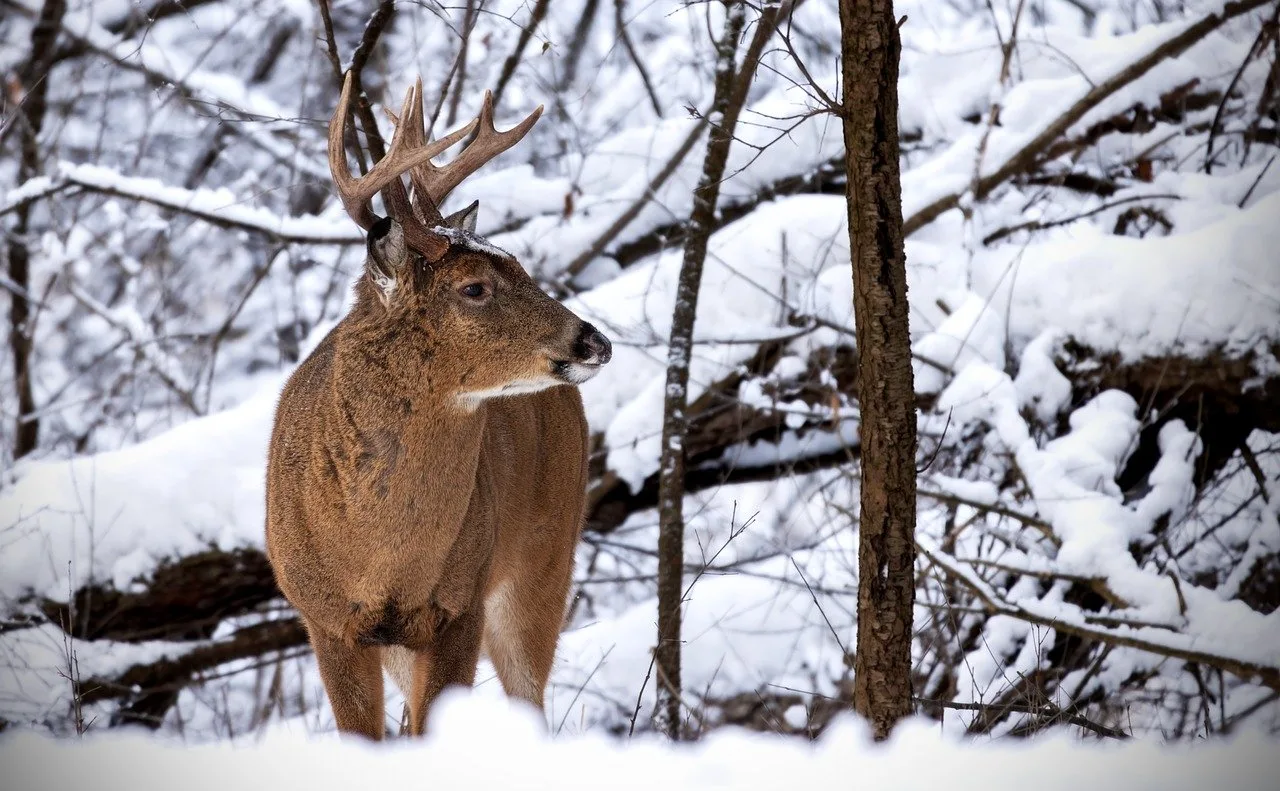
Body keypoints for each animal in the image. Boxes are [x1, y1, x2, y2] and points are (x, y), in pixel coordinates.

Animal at [262, 72, 611, 737]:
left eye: (520, 264)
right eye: (474, 287)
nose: (594, 340)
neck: (380, 556)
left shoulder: (459, 604)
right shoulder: (325, 620)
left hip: (545, 559)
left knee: (529, 698)